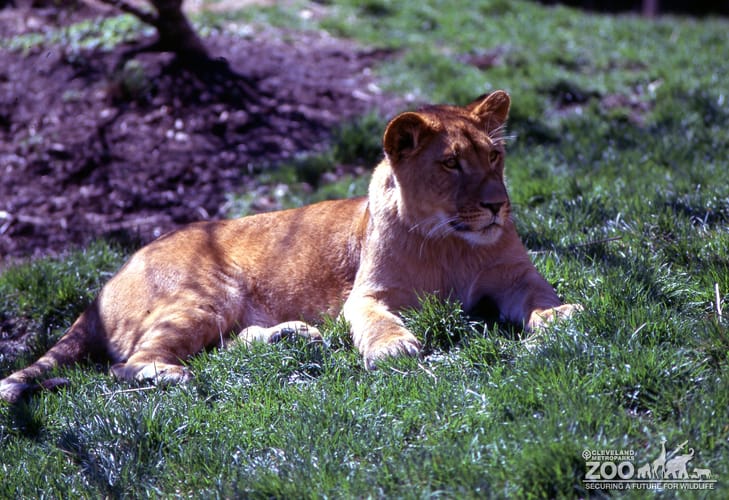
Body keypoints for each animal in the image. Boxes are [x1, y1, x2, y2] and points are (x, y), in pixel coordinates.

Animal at [0, 91, 581, 403]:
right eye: (451, 163)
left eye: (493, 158)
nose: (496, 206)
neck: (452, 245)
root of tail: (104, 286)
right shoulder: (367, 295)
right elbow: (377, 320)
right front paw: (395, 347)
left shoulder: (515, 276)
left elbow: (541, 297)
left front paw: (563, 316)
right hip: (205, 292)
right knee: (126, 366)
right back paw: (177, 375)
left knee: (225, 344)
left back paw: (294, 336)